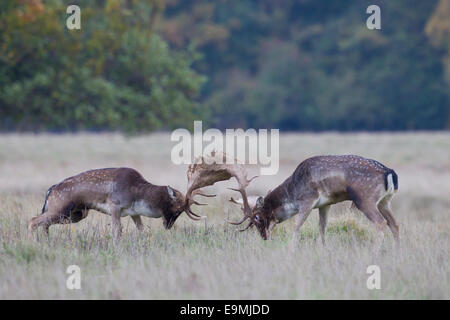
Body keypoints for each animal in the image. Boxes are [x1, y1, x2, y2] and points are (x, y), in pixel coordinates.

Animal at [27, 166, 211, 239]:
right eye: (177, 209)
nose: (168, 225)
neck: (138, 196)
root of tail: (50, 191)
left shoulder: (134, 213)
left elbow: (142, 229)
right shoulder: (114, 204)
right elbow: (118, 230)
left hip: (76, 214)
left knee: (44, 223)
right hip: (60, 208)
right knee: (33, 220)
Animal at [227, 154, 400, 249]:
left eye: (258, 218)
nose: (264, 237)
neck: (293, 193)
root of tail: (390, 172)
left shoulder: (307, 200)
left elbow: (297, 225)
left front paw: (291, 249)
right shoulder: (325, 205)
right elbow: (322, 228)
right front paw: (324, 249)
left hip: (365, 199)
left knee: (381, 223)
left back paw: (374, 253)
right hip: (385, 201)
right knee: (394, 224)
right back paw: (397, 253)